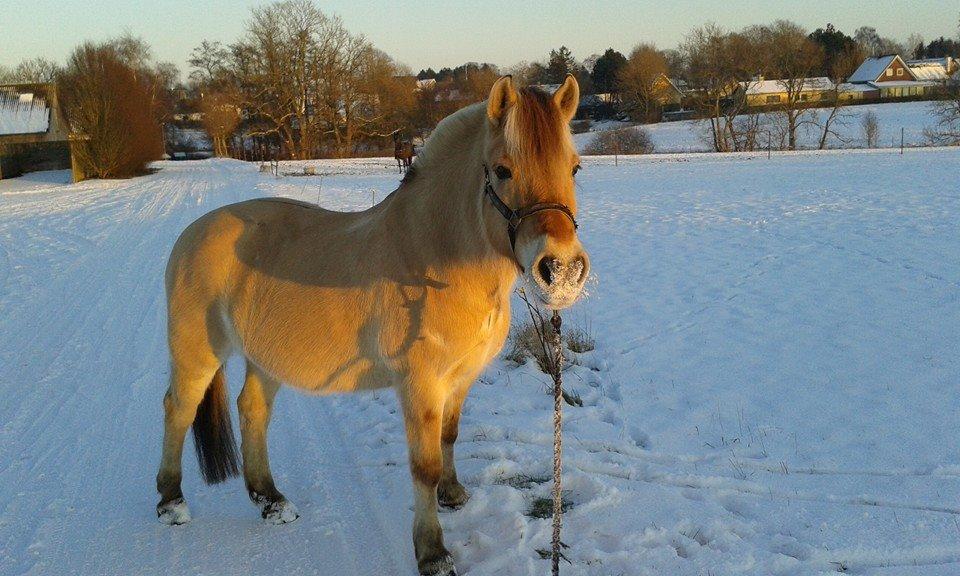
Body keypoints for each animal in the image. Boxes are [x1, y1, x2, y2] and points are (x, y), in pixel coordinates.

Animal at [156, 74, 592, 572]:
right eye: (503, 170)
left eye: (575, 168)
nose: (561, 270)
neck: (431, 262)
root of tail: (194, 232)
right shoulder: (420, 384)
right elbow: (424, 466)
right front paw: (432, 552)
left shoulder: (459, 378)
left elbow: (449, 436)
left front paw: (453, 495)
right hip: (198, 350)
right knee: (178, 408)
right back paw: (171, 502)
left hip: (266, 356)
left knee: (252, 410)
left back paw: (270, 499)